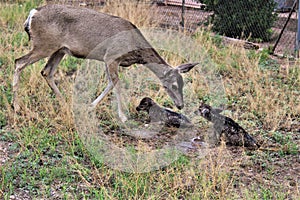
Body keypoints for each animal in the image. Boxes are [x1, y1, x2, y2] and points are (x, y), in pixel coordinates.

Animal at [14, 3, 198, 121]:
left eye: (183, 84)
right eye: (172, 85)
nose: (180, 105)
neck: (134, 48)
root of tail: (32, 14)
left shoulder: (109, 60)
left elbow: (110, 83)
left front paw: (90, 106)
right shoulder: (111, 57)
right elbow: (116, 84)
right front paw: (123, 117)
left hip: (59, 50)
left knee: (46, 71)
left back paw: (65, 103)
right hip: (44, 45)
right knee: (19, 62)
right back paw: (16, 107)